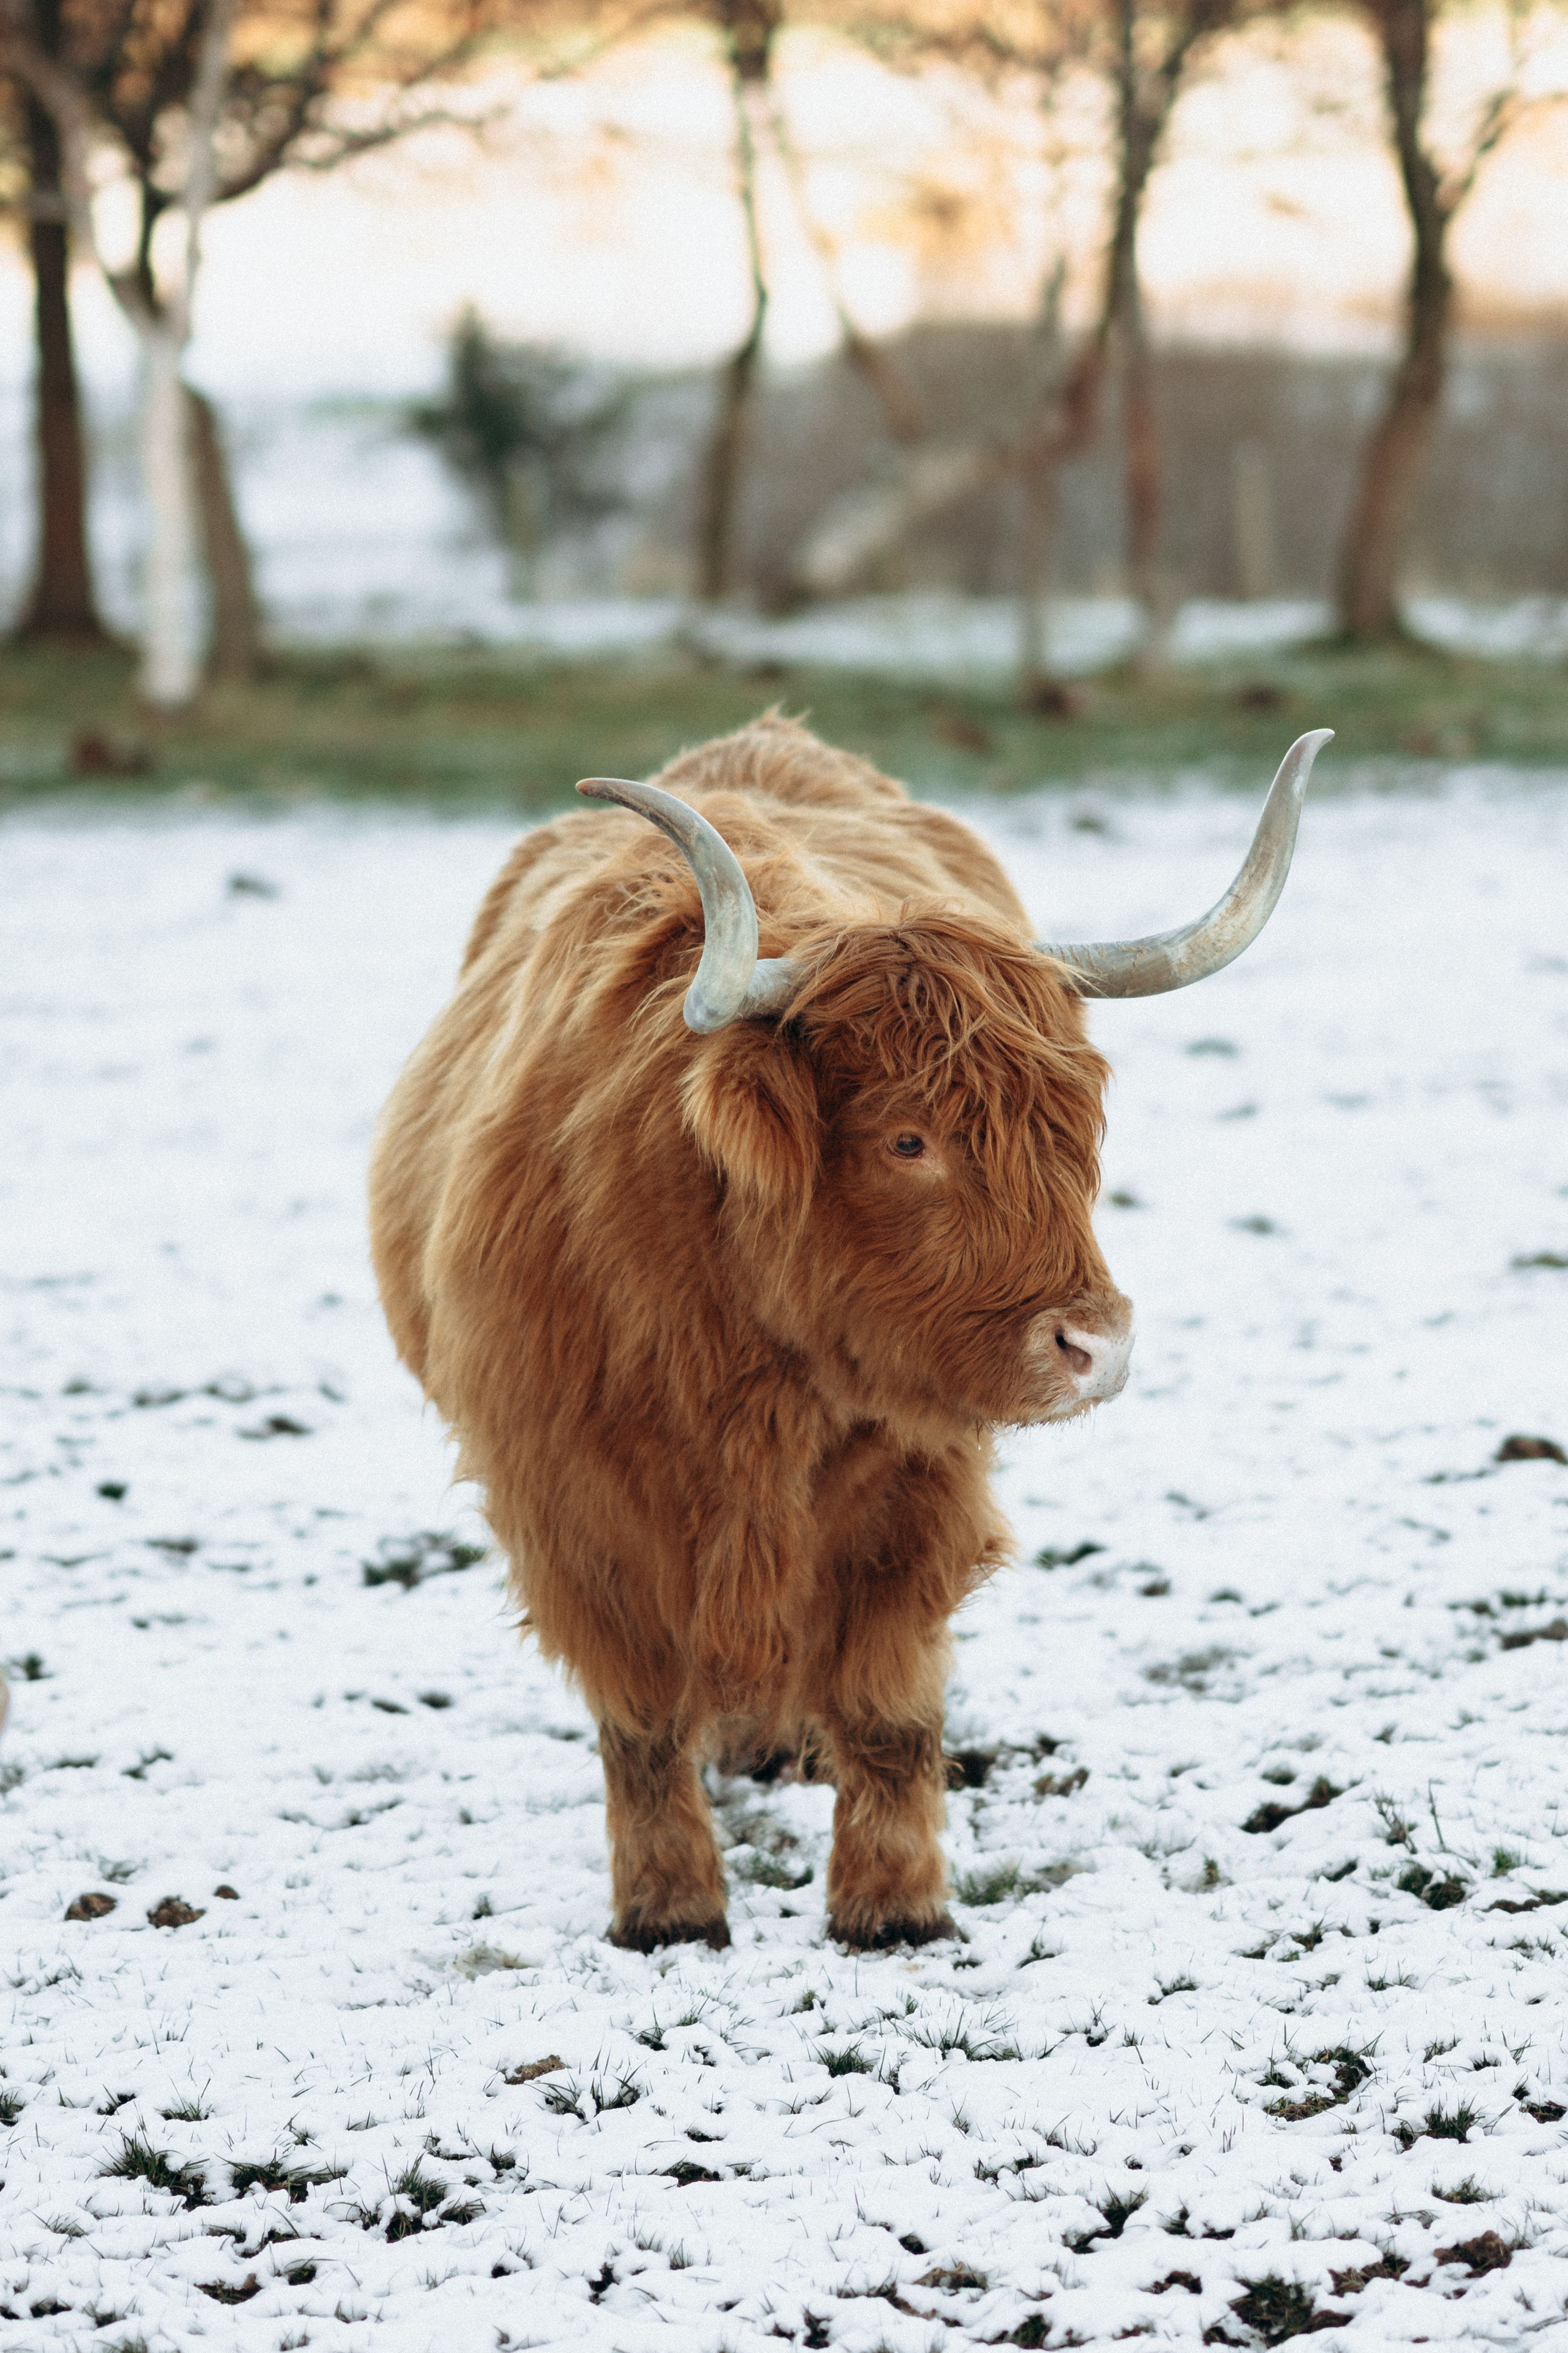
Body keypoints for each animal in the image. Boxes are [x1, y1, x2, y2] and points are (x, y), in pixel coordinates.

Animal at [369, 715, 1329, 1952]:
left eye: (1066, 1129)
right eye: (906, 1139)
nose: (1095, 1345)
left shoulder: (918, 1483)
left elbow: (885, 1704)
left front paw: (895, 1905)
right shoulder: (569, 1500)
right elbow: (639, 1712)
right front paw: (666, 1909)